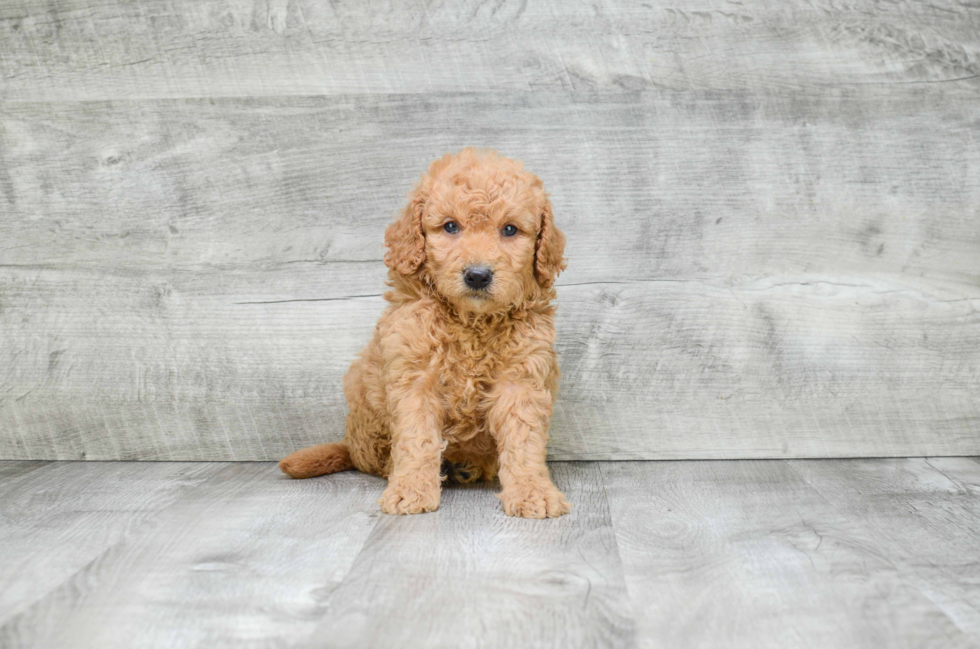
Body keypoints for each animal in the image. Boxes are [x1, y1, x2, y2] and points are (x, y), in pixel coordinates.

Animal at [280, 148, 572, 516]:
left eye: (510, 229)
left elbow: (524, 440)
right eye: (450, 226)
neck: (471, 322)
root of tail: (349, 444)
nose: (477, 275)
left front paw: (533, 492)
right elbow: (417, 438)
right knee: (377, 458)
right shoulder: (415, 377)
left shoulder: (521, 379)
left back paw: (467, 466)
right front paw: (412, 489)